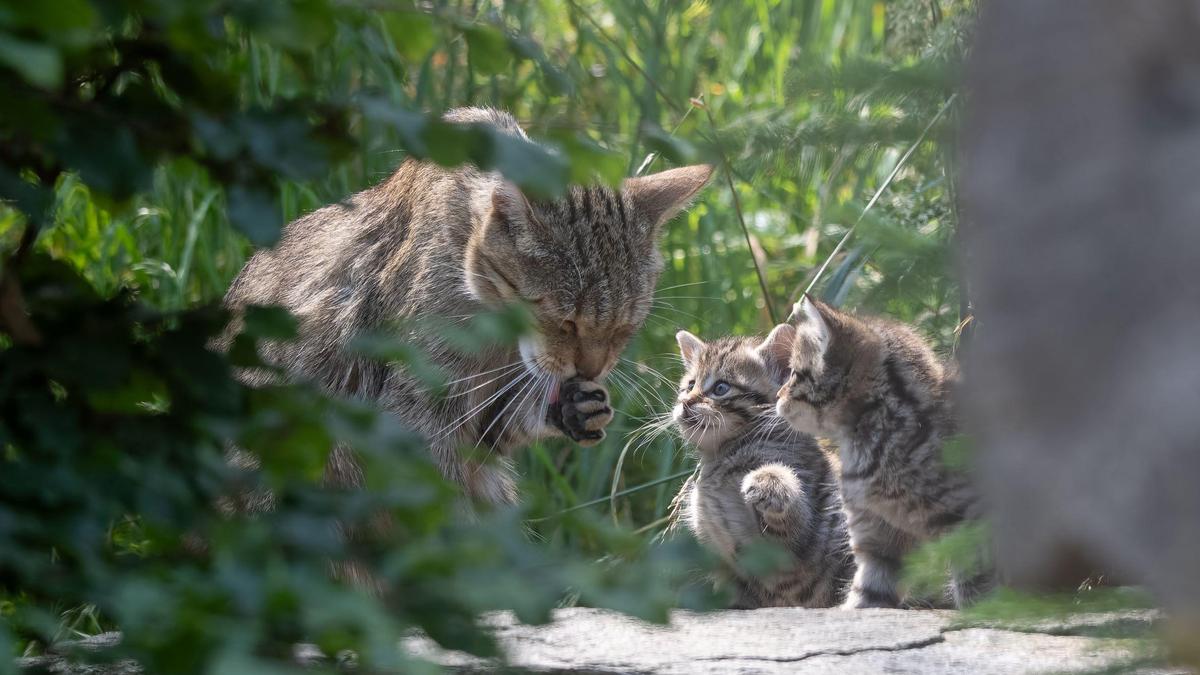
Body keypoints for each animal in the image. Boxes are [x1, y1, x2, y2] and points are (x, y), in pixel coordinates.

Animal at [220, 105, 710, 502]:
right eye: (564, 322)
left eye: (624, 329)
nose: (591, 370)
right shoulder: (414, 415)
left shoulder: (485, 417)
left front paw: (575, 407)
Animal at [676, 324, 854, 607]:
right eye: (689, 386)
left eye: (721, 388)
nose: (684, 403)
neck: (723, 454)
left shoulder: (790, 552)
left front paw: (769, 481)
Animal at [772, 296, 988, 607]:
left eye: (792, 374)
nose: (777, 395)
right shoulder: (877, 542)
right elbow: (865, 597)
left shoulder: (970, 526)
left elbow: (978, 591)